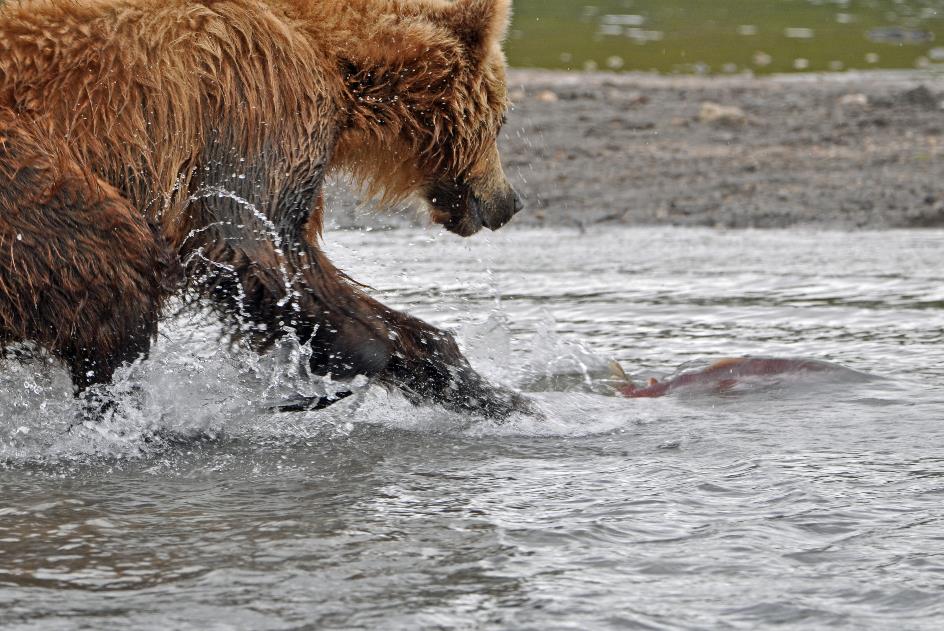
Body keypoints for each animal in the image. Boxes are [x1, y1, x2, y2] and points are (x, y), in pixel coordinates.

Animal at [0, 1, 532, 420]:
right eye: (503, 118)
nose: (510, 202)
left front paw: (496, 395)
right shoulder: (257, 106)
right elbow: (247, 244)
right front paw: (336, 374)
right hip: (29, 174)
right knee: (114, 259)